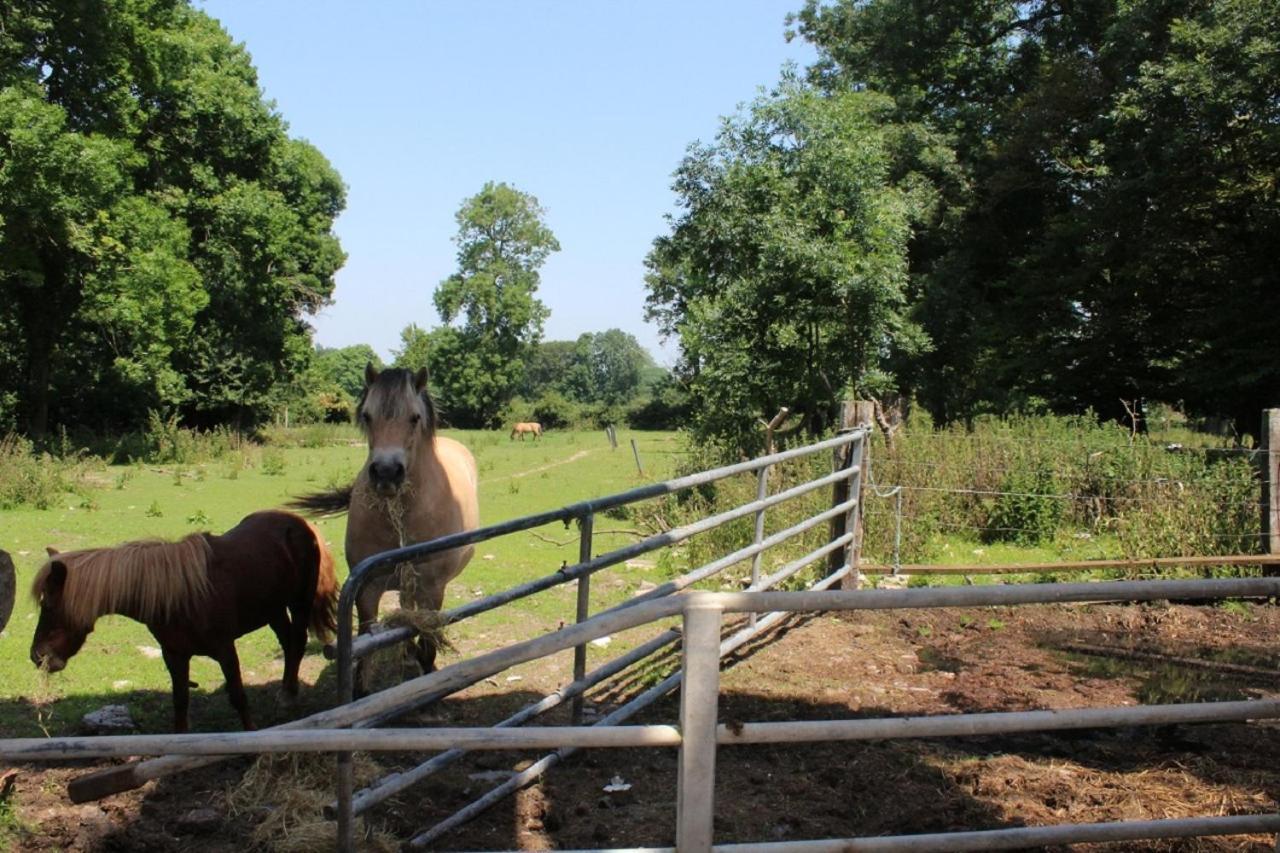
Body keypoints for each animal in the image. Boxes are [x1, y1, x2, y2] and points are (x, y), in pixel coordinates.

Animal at [30, 507, 340, 727]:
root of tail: (301, 523)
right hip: (272, 609)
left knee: (297, 642)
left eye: (51, 606)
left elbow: (238, 696)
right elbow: (180, 702)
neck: (177, 595)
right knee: (288, 643)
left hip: (299, 603)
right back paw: (287, 691)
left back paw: (290, 694)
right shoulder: (174, 654)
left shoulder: (225, 649)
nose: (37, 656)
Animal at [290, 363, 481, 691]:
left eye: (414, 418)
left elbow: (428, 641)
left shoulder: (432, 590)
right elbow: (366, 647)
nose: (386, 473)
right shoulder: (367, 590)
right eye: (367, 416)